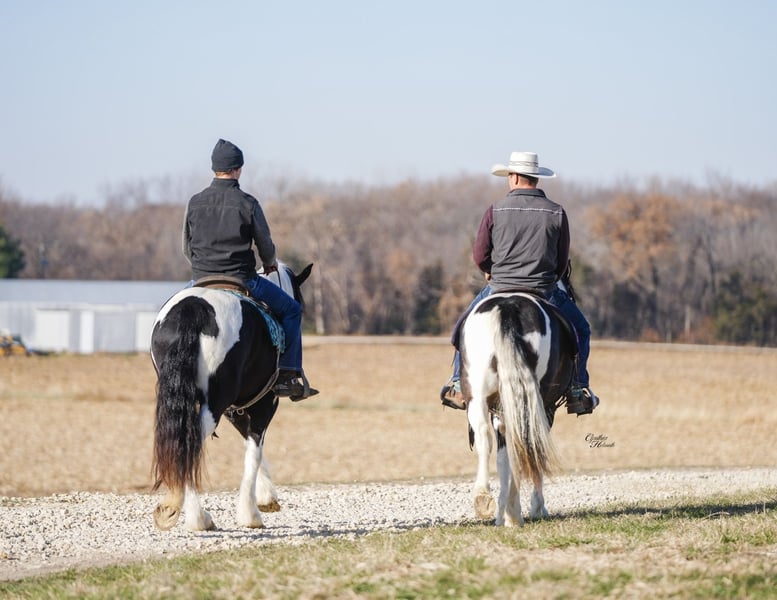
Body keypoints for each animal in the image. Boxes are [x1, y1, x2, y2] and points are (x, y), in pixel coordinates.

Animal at [149, 262, 313, 531]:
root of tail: (193, 310)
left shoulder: (234, 409)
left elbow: (248, 443)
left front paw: (266, 497)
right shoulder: (264, 403)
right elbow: (254, 450)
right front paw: (251, 513)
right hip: (217, 402)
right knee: (191, 444)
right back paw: (199, 518)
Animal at [458, 290, 577, 526]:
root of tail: (508, 309)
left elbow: (503, 458)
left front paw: (503, 512)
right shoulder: (546, 409)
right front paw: (535, 508)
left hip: (478, 393)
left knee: (485, 437)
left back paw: (484, 498)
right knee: (525, 444)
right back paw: (513, 511)